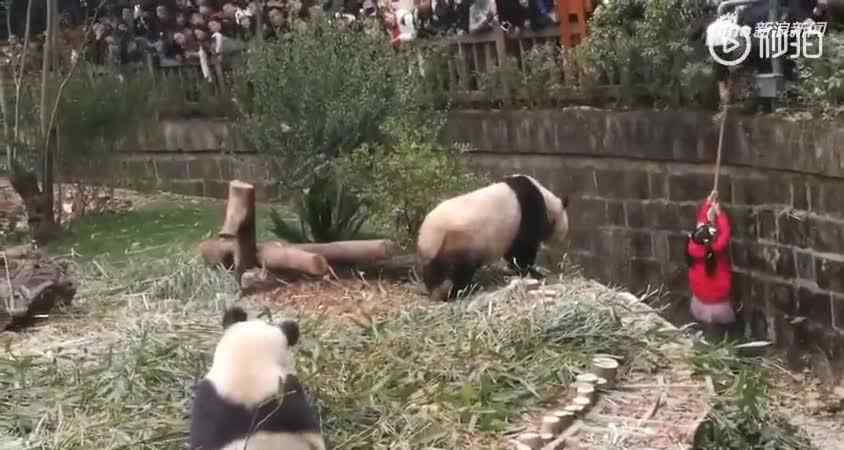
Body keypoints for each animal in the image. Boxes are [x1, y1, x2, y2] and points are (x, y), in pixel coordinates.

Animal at [414, 174, 568, 300]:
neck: (547, 201)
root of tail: (427, 236)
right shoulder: (528, 212)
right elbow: (522, 250)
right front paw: (532, 272)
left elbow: (513, 253)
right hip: (460, 240)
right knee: (460, 270)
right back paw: (459, 291)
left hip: (437, 252)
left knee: (433, 270)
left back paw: (435, 290)